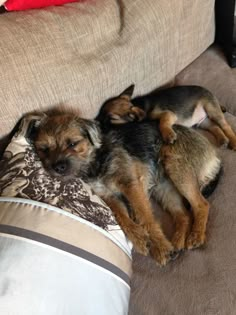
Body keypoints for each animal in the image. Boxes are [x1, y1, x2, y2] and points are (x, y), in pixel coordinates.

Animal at [32, 113, 221, 266]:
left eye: (72, 143)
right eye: (44, 149)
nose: (58, 167)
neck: (95, 161)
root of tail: (214, 153)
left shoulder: (131, 185)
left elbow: (146, 217)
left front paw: (160, 247)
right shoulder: (109, 197)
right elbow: (121, 217)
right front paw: (140, 239)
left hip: (175, 166)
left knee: (201, 204)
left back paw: (195, 236)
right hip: (164, 188)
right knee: (183, 214)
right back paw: (177, 241)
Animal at [97, 84, 236, 150]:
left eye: (111, 119)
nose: (98, 122)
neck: (137, 105)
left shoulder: (168, 114)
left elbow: (162, 121)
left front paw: (168, 134)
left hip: (212, 110)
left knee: (226, 126)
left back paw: (233, 141)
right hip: (203, 121)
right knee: (215, 127)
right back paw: (222, 140)